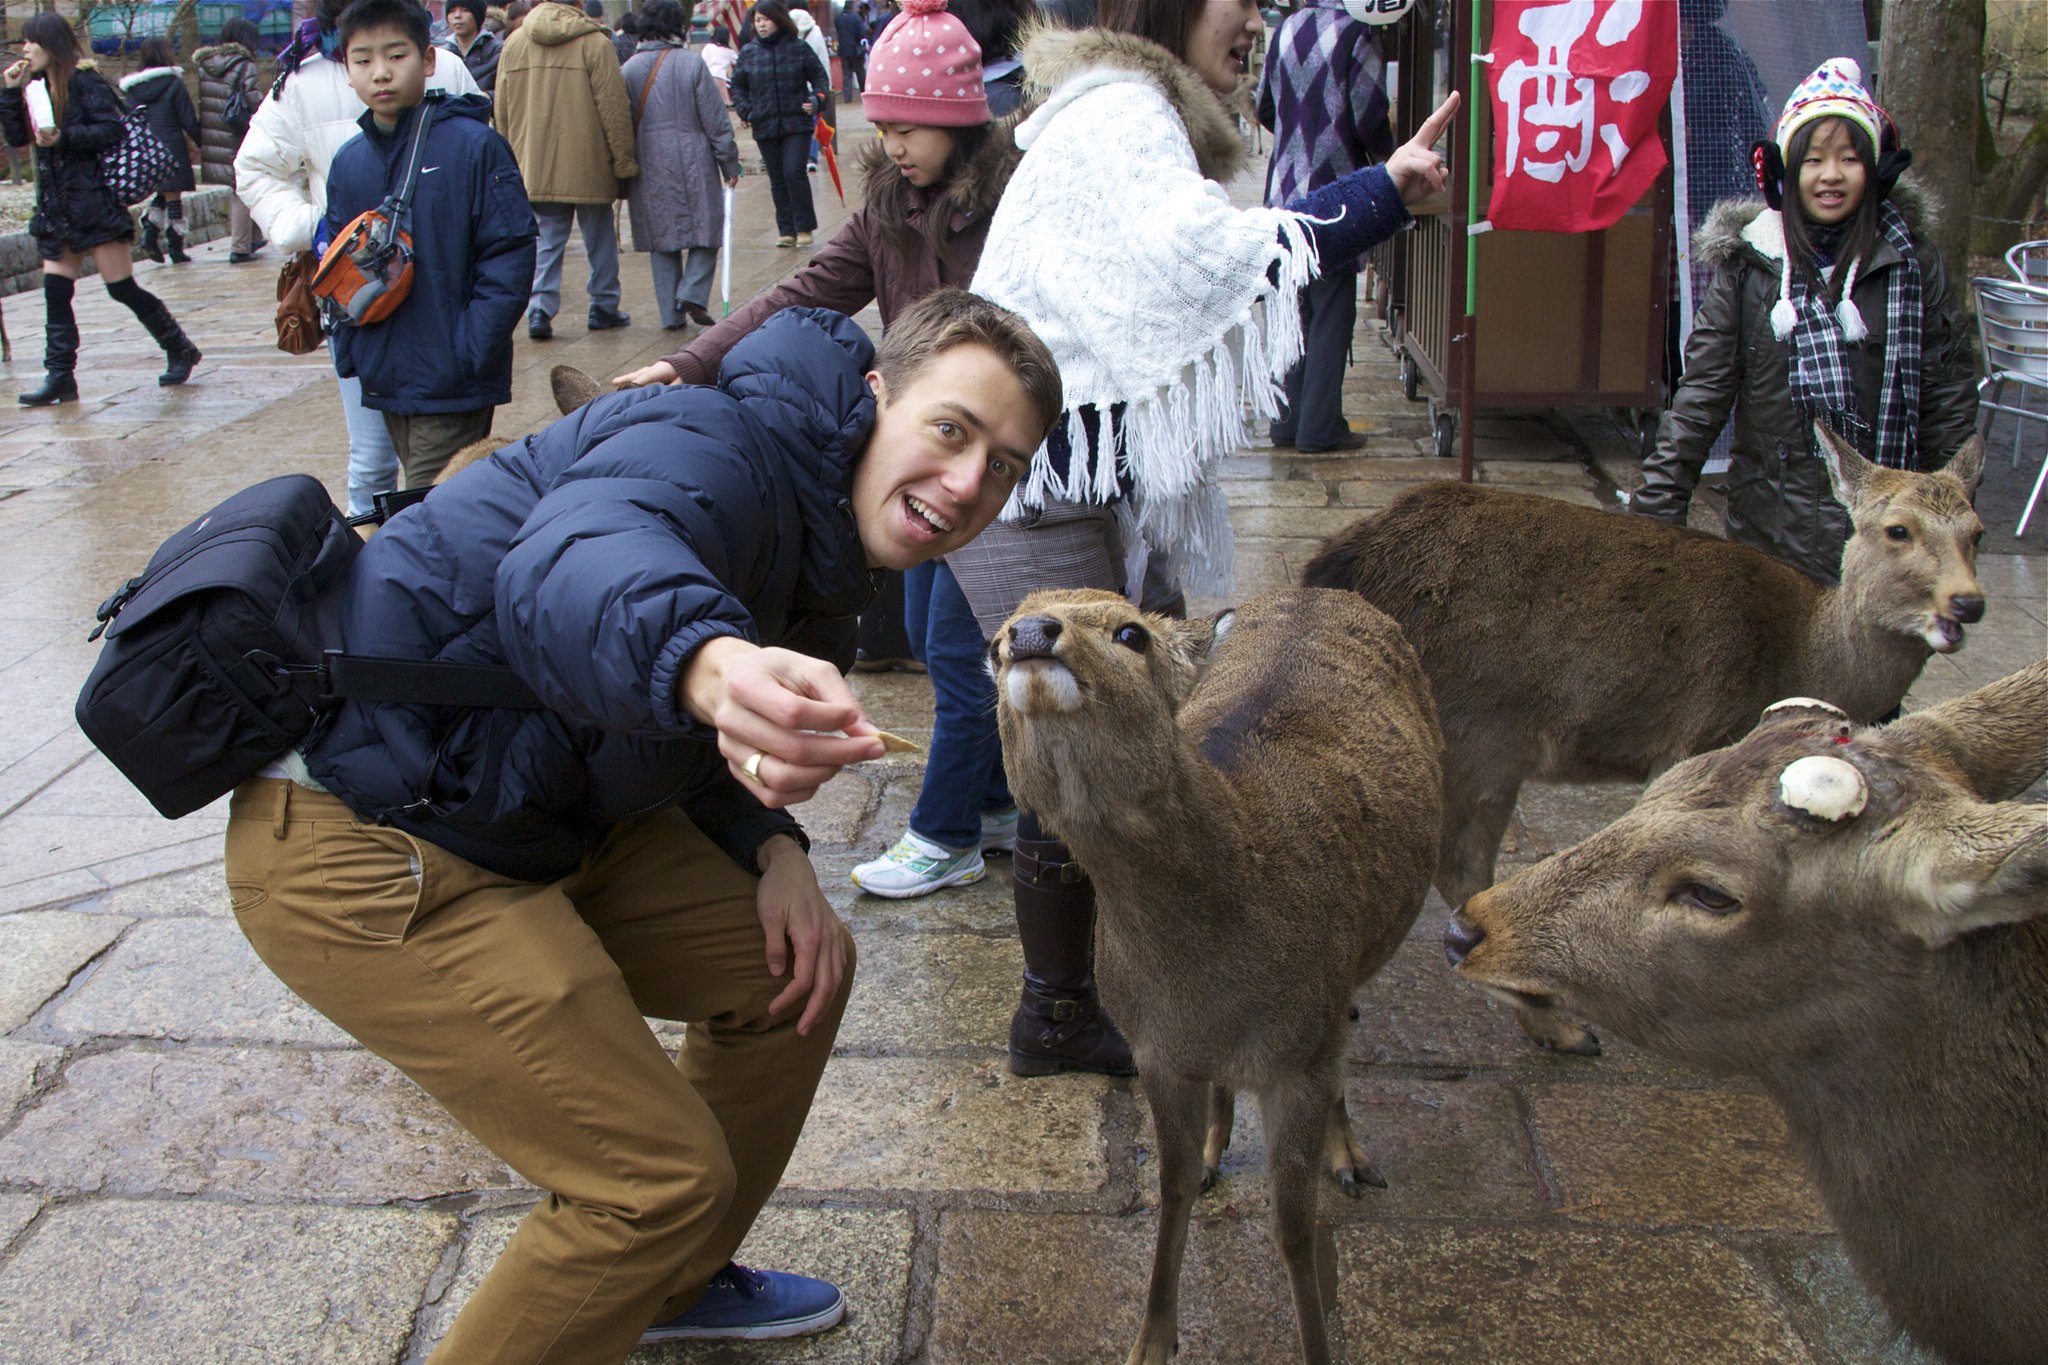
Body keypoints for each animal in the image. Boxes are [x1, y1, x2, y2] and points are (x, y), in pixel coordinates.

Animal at [991, 587, 1443, 1365]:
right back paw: (1218, 1146)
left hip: (1347, 979)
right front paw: (1150, 1340)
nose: (1029, 632)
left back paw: (1351, 1158)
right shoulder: (1155, 1051)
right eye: (992, 645)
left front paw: (1316, 1346)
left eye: (1132, 632)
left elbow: (1292, 1231)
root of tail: (1319, 589)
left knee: (1348, 1028)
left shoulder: (1300, 1056)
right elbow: (1168, 1187)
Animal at [1302, 424, 1986, 1055]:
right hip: (1482, 734)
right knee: (1461, 869)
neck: (1804, 654)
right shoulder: (1696, 737)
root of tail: (1338, 565)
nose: (1968, 604)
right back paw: (1557, 1026)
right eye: (1897, 529)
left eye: (1977, 532)